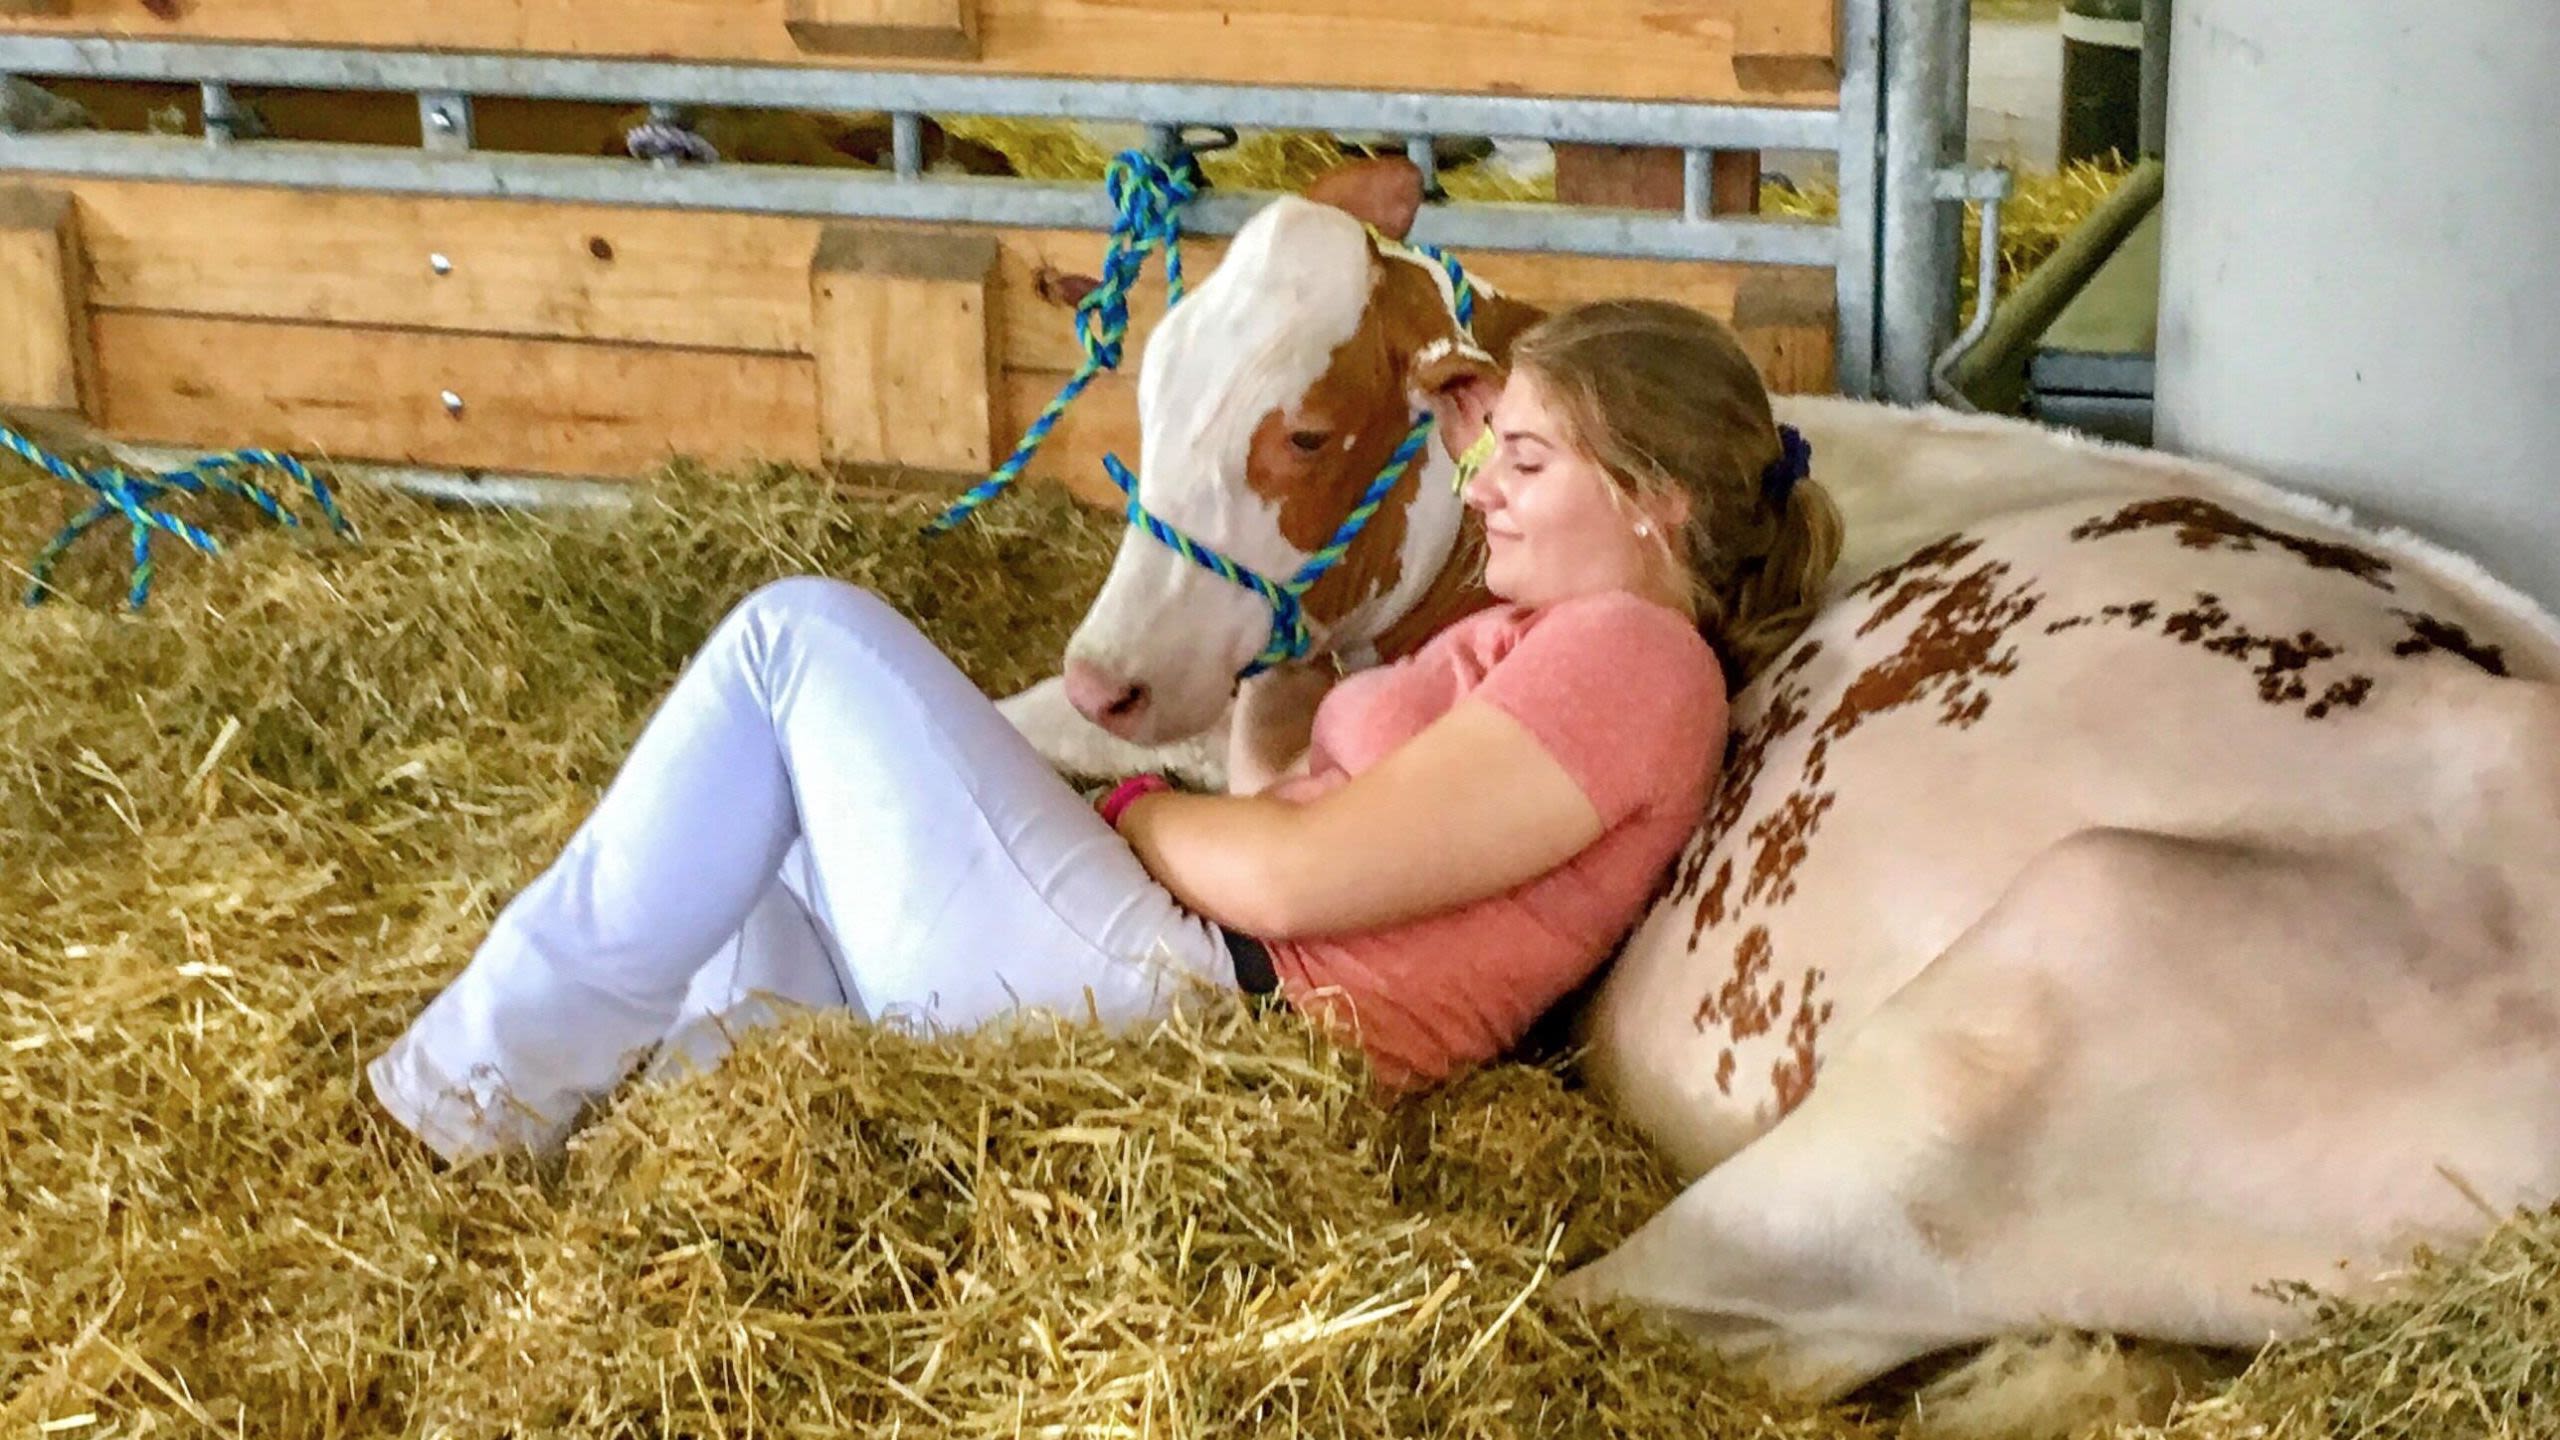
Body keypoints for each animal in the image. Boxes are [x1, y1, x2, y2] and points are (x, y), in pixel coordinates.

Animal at [997, 160, 2560, 1400]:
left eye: (1308, 430)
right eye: (1152, 381)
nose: (1110, 669)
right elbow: (1029, 722)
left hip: (2030, 1000)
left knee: (1658, 1304)